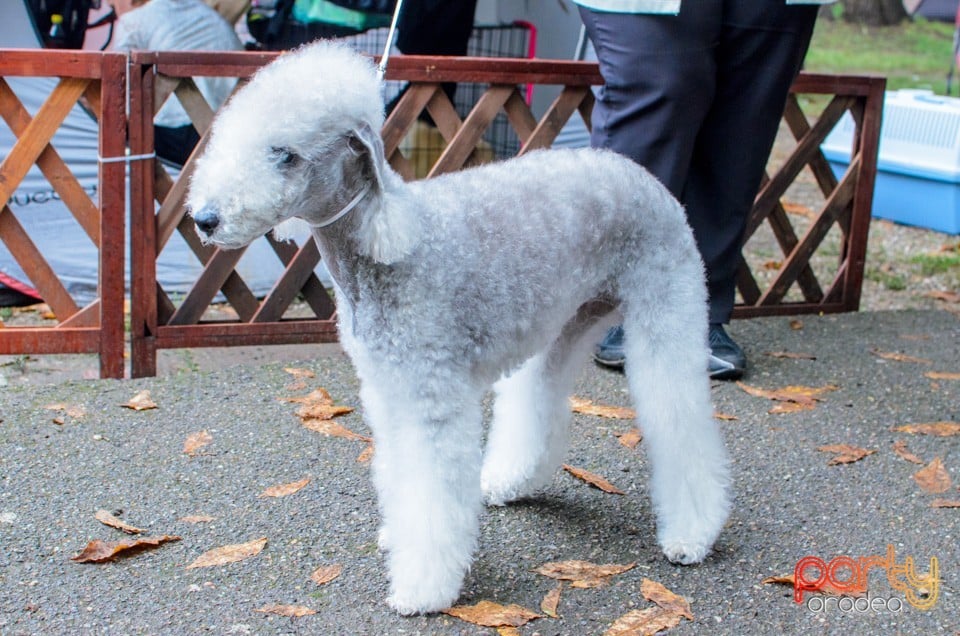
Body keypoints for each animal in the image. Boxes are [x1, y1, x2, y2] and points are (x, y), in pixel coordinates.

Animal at [186, 41, 728, 616]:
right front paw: (396, 537)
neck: (384, 245)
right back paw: (509, 479)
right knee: (538, 397)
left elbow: (431, 492)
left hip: (665, 311)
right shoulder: (388, 391)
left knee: (680, 417)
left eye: (284, 154)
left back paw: (692, 533)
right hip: (562, 322)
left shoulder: (431, 396)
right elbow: (399, 473)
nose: (204, 219)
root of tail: (639, 174)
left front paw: (422, 584)